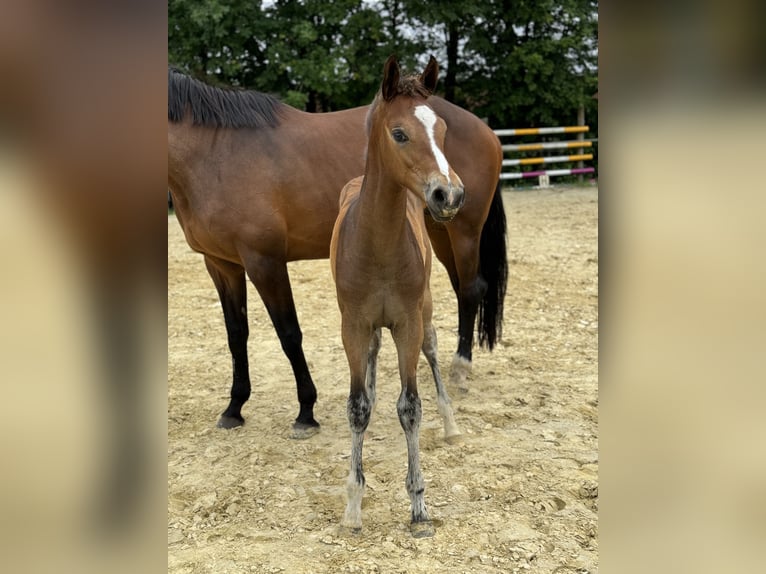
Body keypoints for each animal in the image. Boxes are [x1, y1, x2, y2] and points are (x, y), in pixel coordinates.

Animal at [168, 64, 508, 436]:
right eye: (400, 134)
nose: (451, 192)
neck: (217, 153)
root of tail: (486, 130)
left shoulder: (265, 262)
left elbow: (289, 333)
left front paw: (306, 411)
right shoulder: (221, 264)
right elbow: (236, 334)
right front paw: (234, 407)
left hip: (463, 230)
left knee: (471, 289)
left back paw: (461, 368)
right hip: (439, 229)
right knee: (461, 289)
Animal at [332, 56, 462, 536]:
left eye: (442, 129)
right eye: (400, 133)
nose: (450, 194)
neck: (378, 244)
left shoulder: (407, 323)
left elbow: (410, 407)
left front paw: (419, 508)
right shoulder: (353, 324)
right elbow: (357, 408)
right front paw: (353, 507)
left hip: (424, 311)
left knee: (434, 349)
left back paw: (450, 424)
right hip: (368, 326)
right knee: (370, 361)